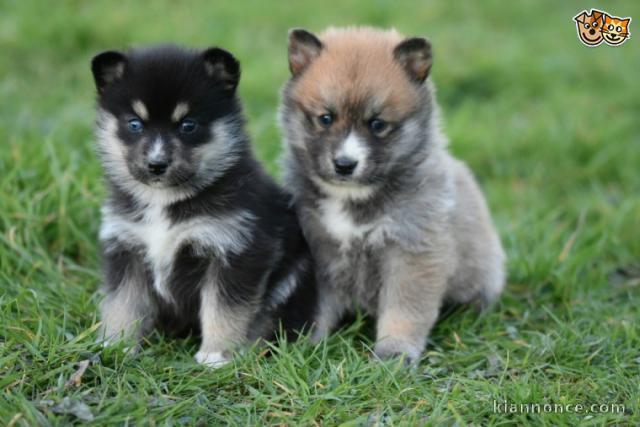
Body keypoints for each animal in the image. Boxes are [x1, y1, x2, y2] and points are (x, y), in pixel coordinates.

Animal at [91, 46, 316, 368]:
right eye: (134, 124)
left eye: (188, 125)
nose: (156, 164)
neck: (164, 201)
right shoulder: (126, 247)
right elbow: (122, 303)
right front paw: (116, 345)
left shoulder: (236, 250)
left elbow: (224, 308)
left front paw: (216, 356)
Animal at [280, 27, 504, 364]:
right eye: (325, 118)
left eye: (377, 124)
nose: (345, 164)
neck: (353, 198)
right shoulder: (318, 249)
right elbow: (315, 306)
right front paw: (307, 343)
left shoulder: (412, 252)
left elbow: (404, 309)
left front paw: (394, 352)